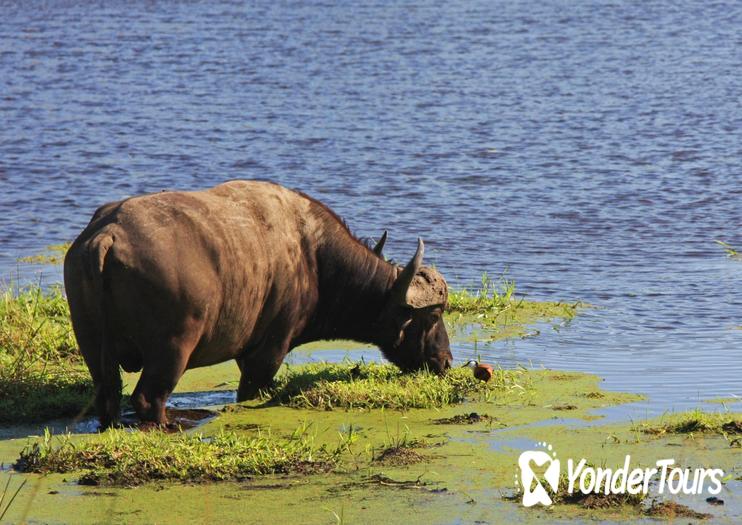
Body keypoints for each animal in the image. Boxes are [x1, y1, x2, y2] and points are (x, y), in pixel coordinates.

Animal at [65, 180, 454, 426]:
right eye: (434, 316)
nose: (446, 361)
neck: (314, 258)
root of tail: (106, 236)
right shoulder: (267, 352)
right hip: (172, 349)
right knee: (148, 398)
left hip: (92, 347)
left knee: (108, 395)